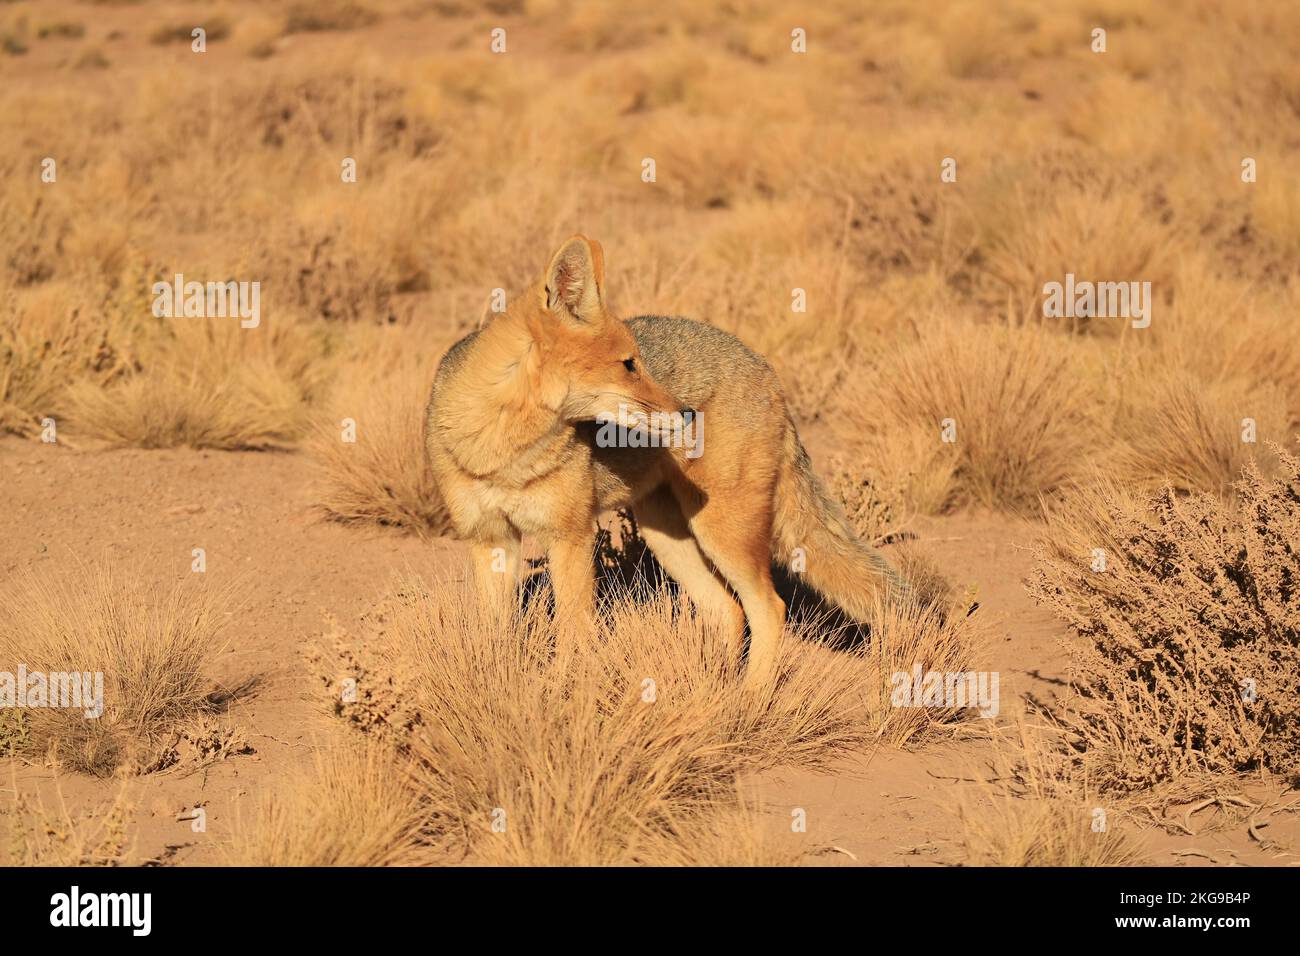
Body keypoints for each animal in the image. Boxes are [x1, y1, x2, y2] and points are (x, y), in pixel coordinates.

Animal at [421, 239, 909, 686]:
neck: (500, 450)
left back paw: (749, 699)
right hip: (668, 536)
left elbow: (573, 636)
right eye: (628, 365)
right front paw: (497, 686)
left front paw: (563, 697)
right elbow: (496, 637)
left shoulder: (570, 537)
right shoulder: (491, 539)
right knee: (728, 609)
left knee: (769, 608)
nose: (689, 414)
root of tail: (765, 368)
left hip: (722, 534)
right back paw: (714, 688)